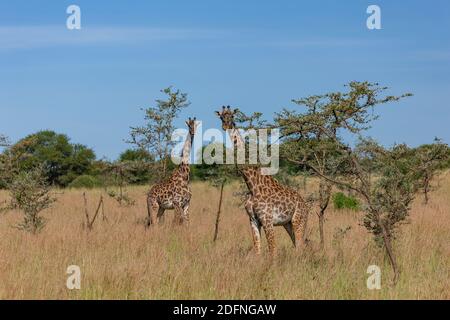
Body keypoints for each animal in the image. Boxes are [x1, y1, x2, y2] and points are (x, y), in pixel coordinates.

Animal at [215, 106, 310, 256]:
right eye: (221, 117)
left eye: (232, 116)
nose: (225, 126)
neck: (252, 185)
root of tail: (305, 205)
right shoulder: (253, 220)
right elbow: (257, 250)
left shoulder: (267, 220)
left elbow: (273, 251)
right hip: (287, 223)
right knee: (297, 244)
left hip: (299, 220)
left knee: (300, 246)